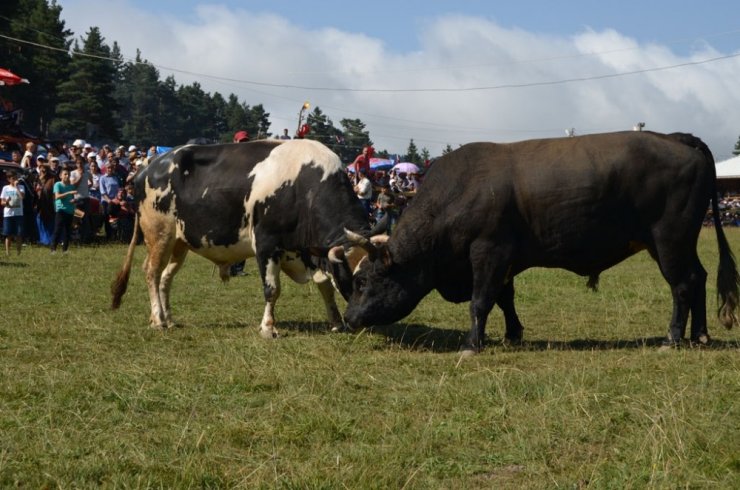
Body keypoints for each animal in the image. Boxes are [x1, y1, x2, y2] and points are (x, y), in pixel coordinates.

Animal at [111, 138, 370, 336]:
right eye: (359, 281)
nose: (358, 321)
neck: (306, 187)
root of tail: (149, 167)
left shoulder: (308, 252)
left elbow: (325, 286)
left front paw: (336, 322)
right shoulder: (267, 244)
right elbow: (272, 289)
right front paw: (268, 328)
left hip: (179, 242)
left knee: (165, 277)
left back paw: (169, 318)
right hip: (159, 234)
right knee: (152, 272)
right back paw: (158, 320)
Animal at [342, 131, 740, 352]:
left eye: (362, 282)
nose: (347, 319)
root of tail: (676, 137)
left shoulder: (488, 251)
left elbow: (481, 300)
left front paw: (472, 344)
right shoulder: (503, 259)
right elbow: (505, 299)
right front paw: (512, 334)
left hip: (668, 239)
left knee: (682, 285)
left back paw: (672, 338)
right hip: (679, 242)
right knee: (699, 278)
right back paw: (700, 335)